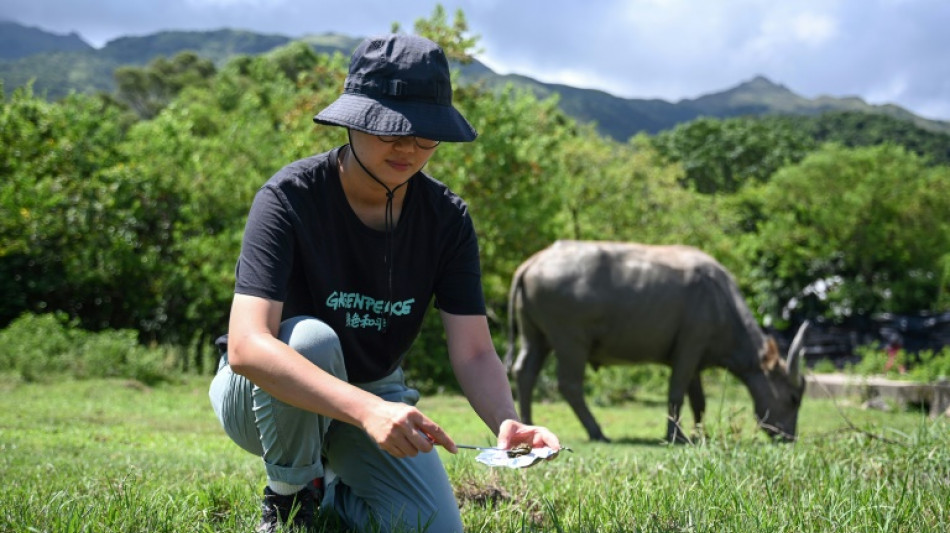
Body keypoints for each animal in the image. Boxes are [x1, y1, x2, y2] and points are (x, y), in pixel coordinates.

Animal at [506, 241, 812, 440]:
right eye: (793, 398)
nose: (789, 437)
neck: (721, 301)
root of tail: (534, 261)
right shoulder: (688, 350)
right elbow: (676, 393)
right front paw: (675, 435)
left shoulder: (695, 359)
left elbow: (699, 401)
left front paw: (699, 435)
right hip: (571, 341)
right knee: (569, 384)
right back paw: (597, 432)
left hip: (537, 338)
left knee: (525, 372)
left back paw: (527, 424)